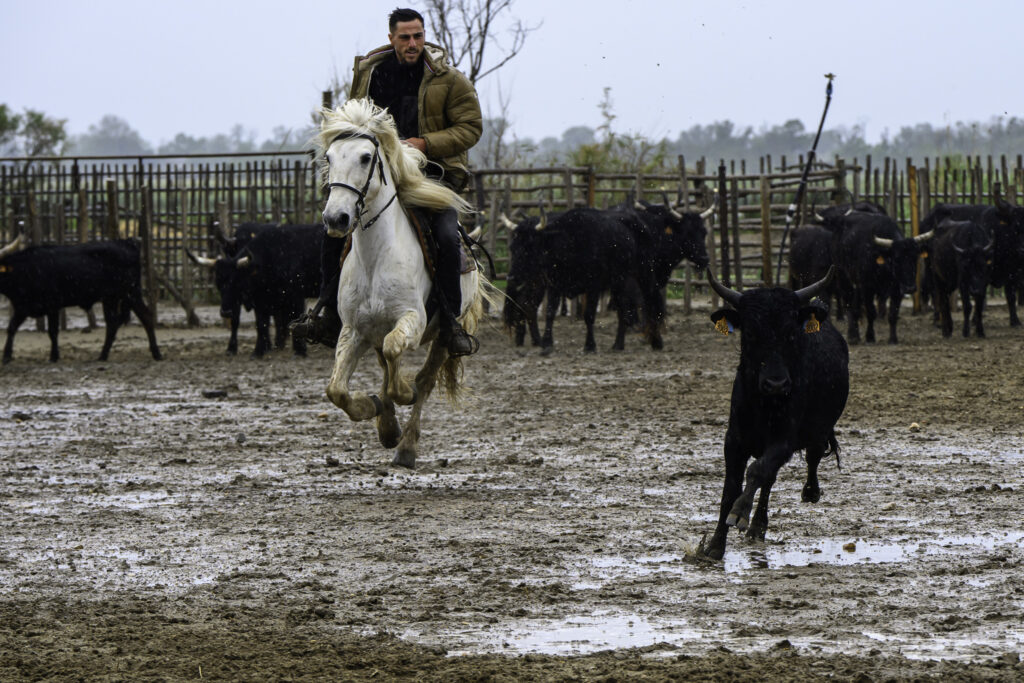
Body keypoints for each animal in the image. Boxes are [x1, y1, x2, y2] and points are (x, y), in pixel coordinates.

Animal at [315, 98, 495, 468]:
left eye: (365, 157)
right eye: (329, 157)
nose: (336, 218)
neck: (376, 258)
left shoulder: (412, 319)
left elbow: (399, 361)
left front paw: (401, 394)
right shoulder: (353, 330)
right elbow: (336, 389)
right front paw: (371, 406)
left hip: (443, 337)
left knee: (424, 380)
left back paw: (406, 447)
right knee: (385, 366)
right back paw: (387, 427)